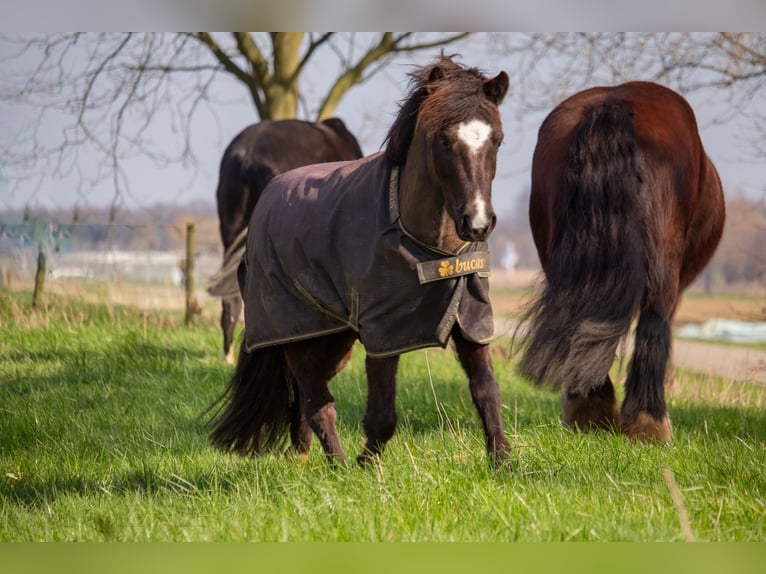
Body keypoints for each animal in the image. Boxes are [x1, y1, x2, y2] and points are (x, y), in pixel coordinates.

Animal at [518, 81, 725, 442]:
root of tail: (614, 101)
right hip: (664, 267)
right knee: (653, 323)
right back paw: (648, 424)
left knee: (580, 323)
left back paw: (591, 413)